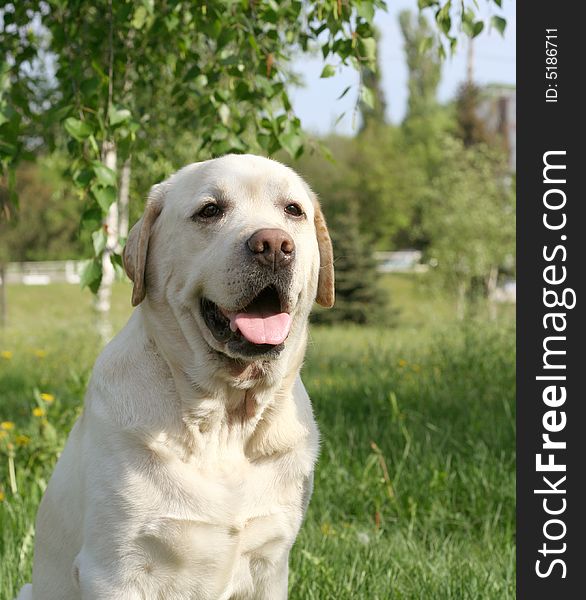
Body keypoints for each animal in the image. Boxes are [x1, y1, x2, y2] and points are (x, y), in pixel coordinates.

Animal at [17, 156, 334, 600]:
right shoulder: (114, 569)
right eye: (210, 210)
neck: (224, 420)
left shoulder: (271, 564)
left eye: (293, 210)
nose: (274, 245)